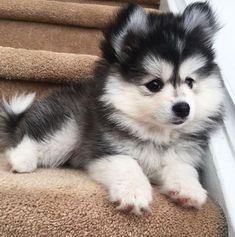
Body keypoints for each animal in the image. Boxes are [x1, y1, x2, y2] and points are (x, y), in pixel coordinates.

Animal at [0, 2, 224, 215]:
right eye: (154, 84)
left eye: (190, 82)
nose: (183, 108)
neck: (156, 134)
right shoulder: (105, 150)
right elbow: (128, 164)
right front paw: (133, 193)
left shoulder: (180, 156)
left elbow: (183, 168)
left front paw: (189, 189)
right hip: (67, 129)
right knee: (28, 140)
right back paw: (21, 160)